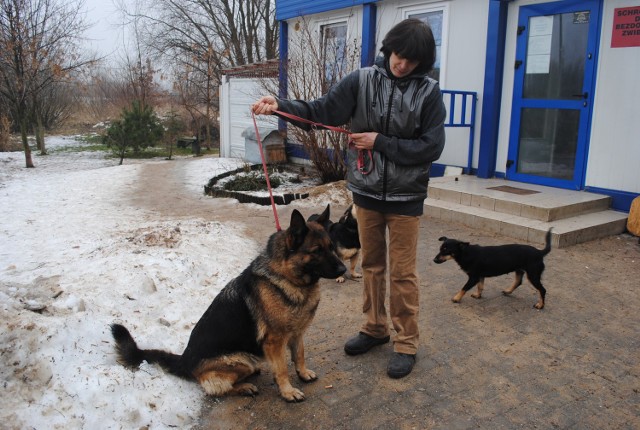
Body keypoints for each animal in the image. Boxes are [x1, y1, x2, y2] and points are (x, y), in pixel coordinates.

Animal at [112, 210, 348, 402]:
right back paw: (244, 387)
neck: (286, 277)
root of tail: (185, 360)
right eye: (316, 251)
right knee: (215, 388)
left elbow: (299, 355)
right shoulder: (275, 341)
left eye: (331, 247)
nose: (344, 269)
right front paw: (288, 392)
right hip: (240, 359)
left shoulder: (297, 333)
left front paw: (303, 373)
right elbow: (281, 369)